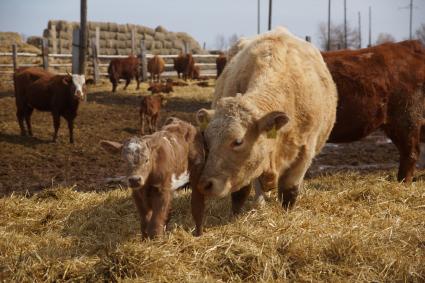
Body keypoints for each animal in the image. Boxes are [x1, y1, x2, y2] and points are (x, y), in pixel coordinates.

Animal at [191, 26, 334, 236]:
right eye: (206, 141)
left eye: (238, 141)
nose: (204, 184)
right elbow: (241, 191)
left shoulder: (305, 152)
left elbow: (289, 192)